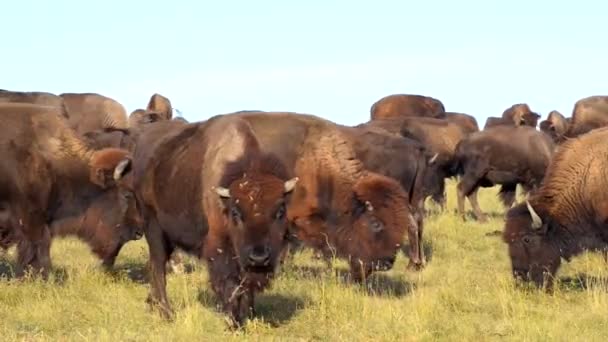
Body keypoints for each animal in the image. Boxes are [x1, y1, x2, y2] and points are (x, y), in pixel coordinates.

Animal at [129, 117, 300, 326]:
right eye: (235, 213)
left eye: (280, 211)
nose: (259, 257)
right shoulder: (220, 248)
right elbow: (230, 284)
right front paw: (233, 321)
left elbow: (246, 286)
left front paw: (247, 316)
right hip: (153, 225)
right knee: (158, 265)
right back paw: (166, 312)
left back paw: (152, 303)